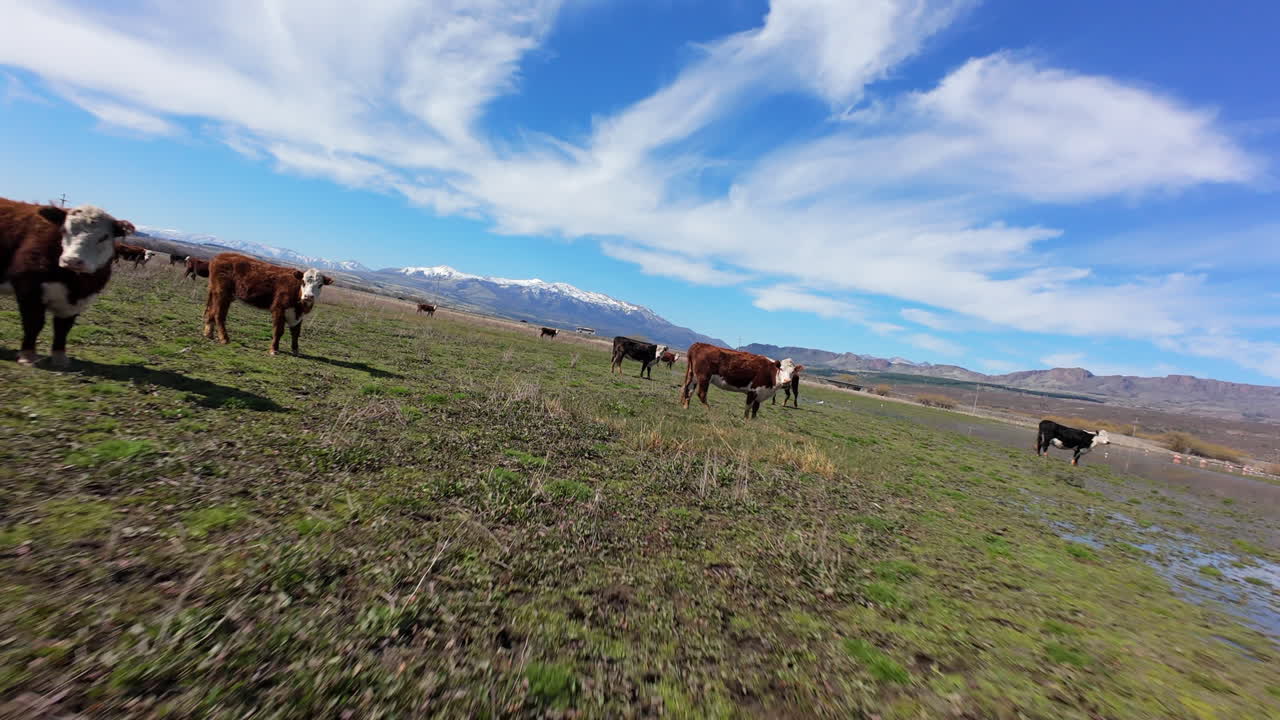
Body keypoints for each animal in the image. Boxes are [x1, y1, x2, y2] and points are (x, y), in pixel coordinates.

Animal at [1, 198, 134, 367]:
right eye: (64, 230)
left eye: (104, 237)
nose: (72, 260)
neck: (74, 281)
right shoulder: (29, 288)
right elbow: (34, 322)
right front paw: (27, 355)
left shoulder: (78, 300)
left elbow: (63, 328)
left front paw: (60, 357)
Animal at [202, 253, 333, 355]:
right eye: (303, 282)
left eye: (320, 285)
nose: (308, 296)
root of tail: (219, 256)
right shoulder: (279, 308)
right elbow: (278, 331)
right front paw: (274, 349)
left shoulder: (298, 315)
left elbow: (296, 333)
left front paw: (296, 350)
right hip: (222, 294)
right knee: (219, 315)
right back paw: (224, 338)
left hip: (220, 294)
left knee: (211, 312)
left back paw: (208, 334)